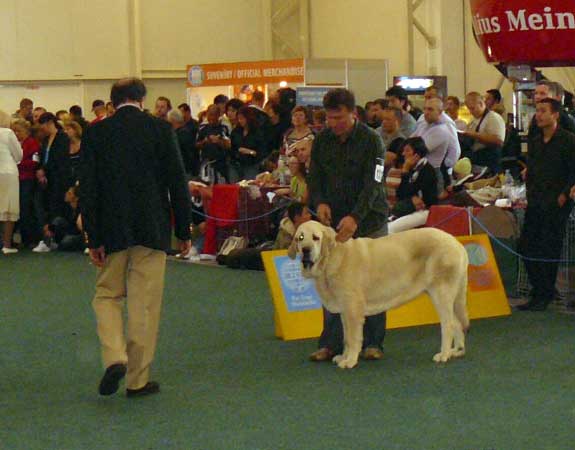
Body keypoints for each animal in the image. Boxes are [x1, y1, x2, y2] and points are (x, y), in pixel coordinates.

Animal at [290, 221, 470, 370]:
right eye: (300, 238)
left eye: (315, 238)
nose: (306, 250)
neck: (332, 259)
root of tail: (456, 243)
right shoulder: (344, 312)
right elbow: (346, 338)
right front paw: (343, 356)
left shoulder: (353, 310)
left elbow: (353, 338)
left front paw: (350, 361)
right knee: (457, 323)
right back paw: (456, 351)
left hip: (440, 293)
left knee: (448, 325)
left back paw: (444, 354)